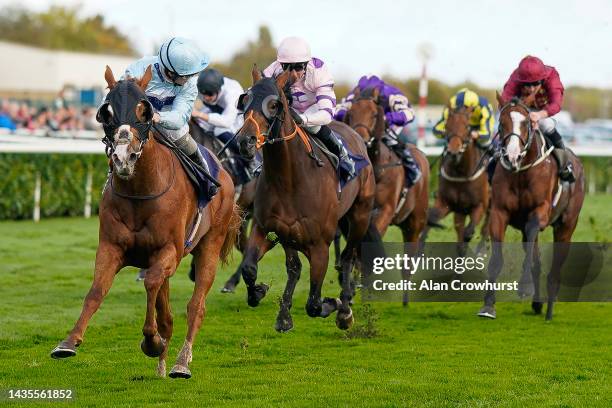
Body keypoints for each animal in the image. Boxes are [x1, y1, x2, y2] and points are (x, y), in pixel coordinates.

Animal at [50, 66, 239, 380]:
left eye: (144, 110)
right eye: (106, 111)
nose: (123, 158)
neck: (140, 192)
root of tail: (223, 171)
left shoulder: (169, 251)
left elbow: (151, 283)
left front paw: (151, 342)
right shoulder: (111, 247)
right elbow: (96, 291)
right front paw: (68, 342)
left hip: (210, 244)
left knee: (196, 306)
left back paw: (181, 362)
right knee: (168, 309)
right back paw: (163, 360)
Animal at [234, 67, 378, 334]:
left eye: (274, 105)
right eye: (244, 100)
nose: (245, 142)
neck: (290, 178)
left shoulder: (320, 245)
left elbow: (313, 303)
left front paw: (333, 304)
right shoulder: (269, 228)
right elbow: (251, 269)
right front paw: (261, 293)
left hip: (360, 217)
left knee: (347, 257)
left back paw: (345, 307)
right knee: (295, 268)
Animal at [344, 88, 430, 306]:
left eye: (375, 114)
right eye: (351, 112)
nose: (361, 137)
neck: (376, 166)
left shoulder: (386, 210)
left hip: (415, 222)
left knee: (409, 260)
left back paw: (405, 299)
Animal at [420, 105, 488, 255]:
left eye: (467, 126)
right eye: (447, 126)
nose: (453, 151)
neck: (462, 173)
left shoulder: (480, 205)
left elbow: (468, 232)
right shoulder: (446, 203)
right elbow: (429, 221)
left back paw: (481, 249)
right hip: (460, 212)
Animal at [478, 94, 588, 320]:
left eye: (526, 123)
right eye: (501, 124)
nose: (512, 157)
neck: (521, 173)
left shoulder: (539, 213)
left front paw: (525, 286)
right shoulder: (499, 213)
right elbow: (497, 259)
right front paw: (488, 305)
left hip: (566, 227)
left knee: (555, 269)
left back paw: (549, 310)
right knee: (537, 260)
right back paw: (538, 304)